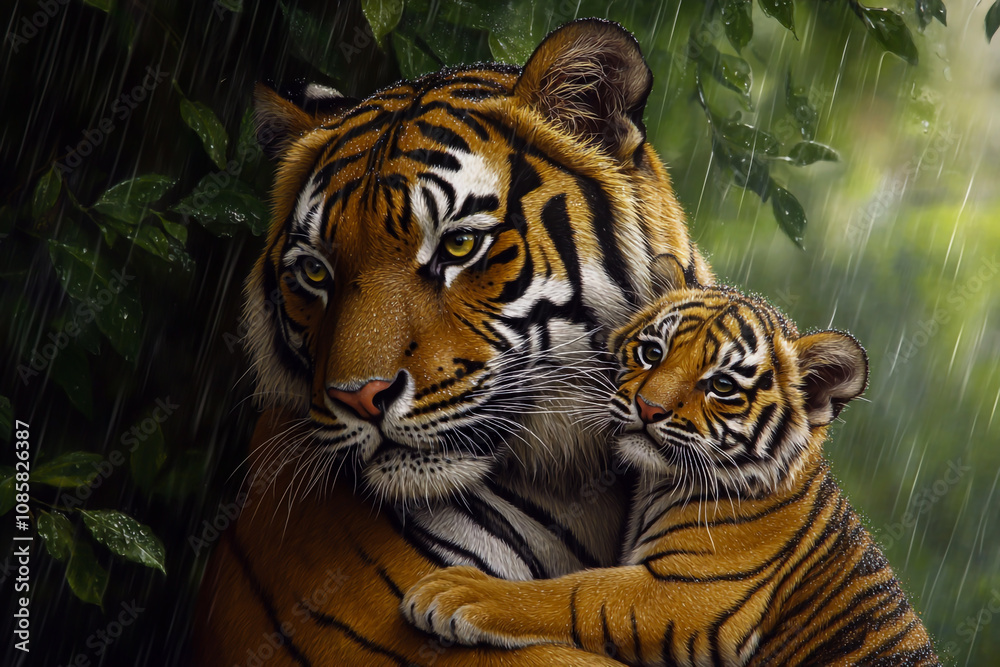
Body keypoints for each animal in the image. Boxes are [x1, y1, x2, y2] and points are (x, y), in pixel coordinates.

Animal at [401, 276, 940, 666]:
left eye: (722, 385)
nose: (648, 407)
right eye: (652, 353)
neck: (657, 484)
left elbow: (580, 592)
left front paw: (457, 592)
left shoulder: (689, 595)